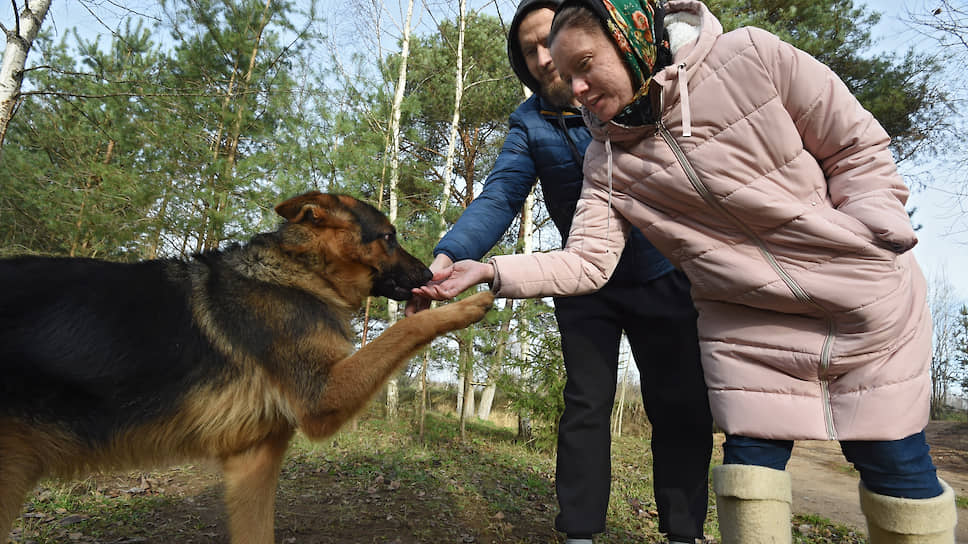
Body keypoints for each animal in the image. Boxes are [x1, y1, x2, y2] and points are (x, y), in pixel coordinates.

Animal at [0, 190, 496, 540]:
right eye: (388, 236)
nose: (431, 275)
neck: (304, 274)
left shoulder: (253, 461)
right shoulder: (322, 398)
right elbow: (403, 330)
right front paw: (467, 305)